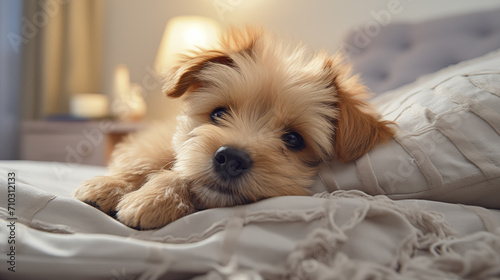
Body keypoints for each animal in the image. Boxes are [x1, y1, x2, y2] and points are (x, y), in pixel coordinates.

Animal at [73, 27, 394, 230]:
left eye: (293, 139)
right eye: (218, 113)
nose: (231, 158)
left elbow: (180, 173)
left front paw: (153, 200)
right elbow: (176, 168)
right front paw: (147, 193)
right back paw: (108, 185)